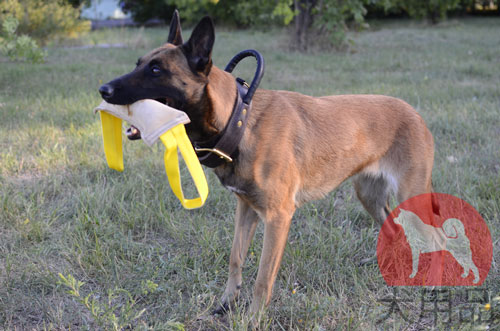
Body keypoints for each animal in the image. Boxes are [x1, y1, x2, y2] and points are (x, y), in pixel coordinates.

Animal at [99, 11, 436, 322]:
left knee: (435, 238)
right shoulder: (246, 208)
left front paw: (252, 319)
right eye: (138, 63)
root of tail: (415, 113)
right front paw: (226, 303)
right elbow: (235, 258)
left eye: (156, 70)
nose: (103, 90)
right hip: (369, 195)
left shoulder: (278, 217)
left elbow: (263, 276)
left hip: (411, 195)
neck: (240, 120)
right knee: (394, 229)